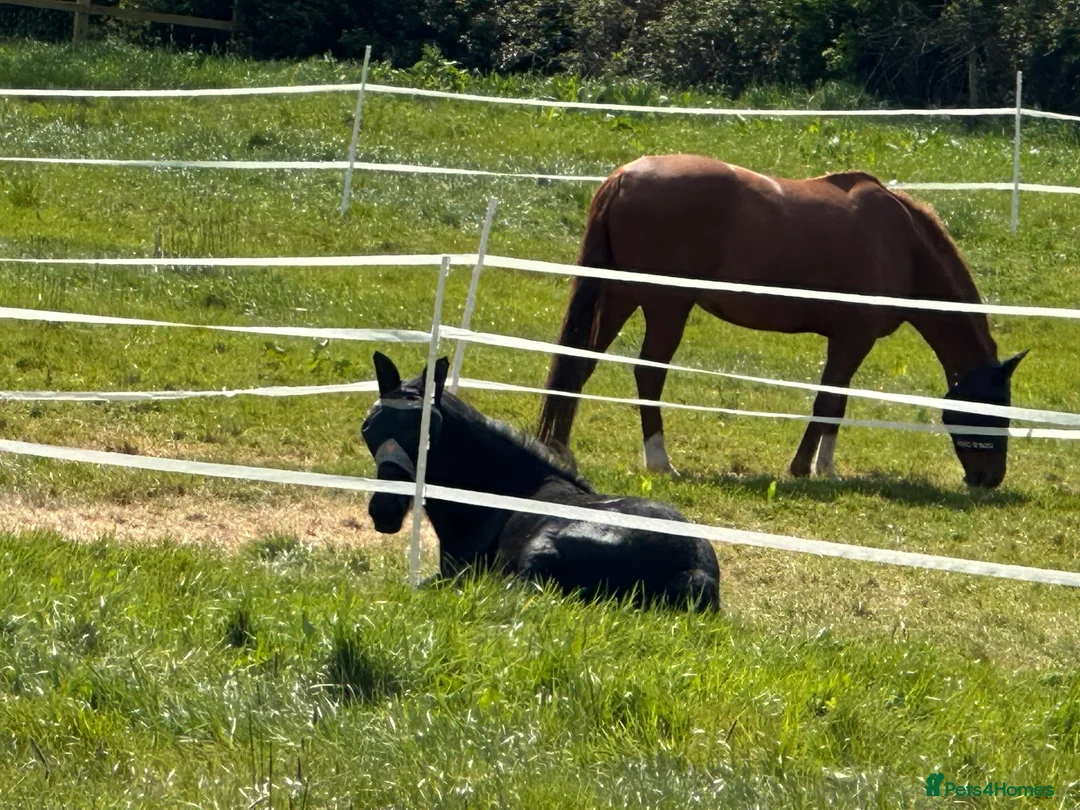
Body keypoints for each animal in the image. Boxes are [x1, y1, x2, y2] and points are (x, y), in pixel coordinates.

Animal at [361, 351, 721, 612]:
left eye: (427, 433)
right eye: (369, 429)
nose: (384, 510)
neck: (499, 498)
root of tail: (693, 569)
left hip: (537, 555)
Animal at [536, 154, 1029, 489]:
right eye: (996, 411)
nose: (989, 479)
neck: (904, 244)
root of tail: (623, 178)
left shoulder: (847, 341)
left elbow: (836, 401)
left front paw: (822, 467)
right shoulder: (853, 339)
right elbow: (829, 400)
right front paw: (809, 468)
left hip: (618, 298)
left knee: (579, 364)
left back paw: (562, 451)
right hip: (666, 307)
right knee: (648, 375)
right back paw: (660, 461)